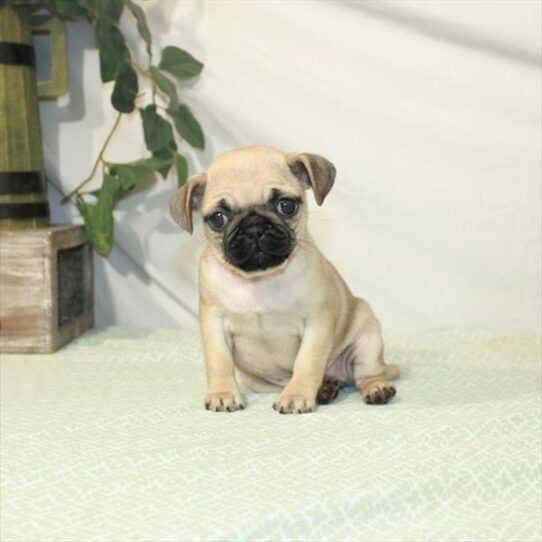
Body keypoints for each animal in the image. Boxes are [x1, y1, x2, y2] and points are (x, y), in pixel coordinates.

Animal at [170, 146, 400, 416]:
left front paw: (296, 395)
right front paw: (222, 393)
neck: (260, 280)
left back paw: (375, 388)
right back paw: (325, 388)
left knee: (366, 375)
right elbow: (219, 362)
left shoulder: (316, 323)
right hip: (258, 381)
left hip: (368, 340)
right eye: (218, 218)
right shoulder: (214, 324)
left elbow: (307, 363)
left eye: (286, 205)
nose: (254, 227)